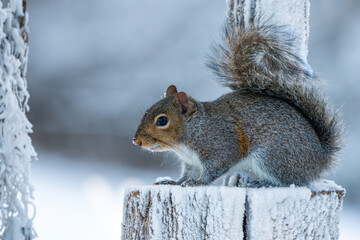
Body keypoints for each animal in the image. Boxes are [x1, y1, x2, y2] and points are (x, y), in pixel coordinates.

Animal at [132, 16, 344, 188]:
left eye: (162, 121)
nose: (136, 141)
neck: (194, 132)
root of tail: (319, 159)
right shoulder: (192, 162)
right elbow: (187, 173)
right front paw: (176, 182)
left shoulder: (221, 145)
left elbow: (215, 167)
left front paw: (197, 182)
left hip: (273, 157)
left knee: (291, 181)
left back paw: (265, 183)